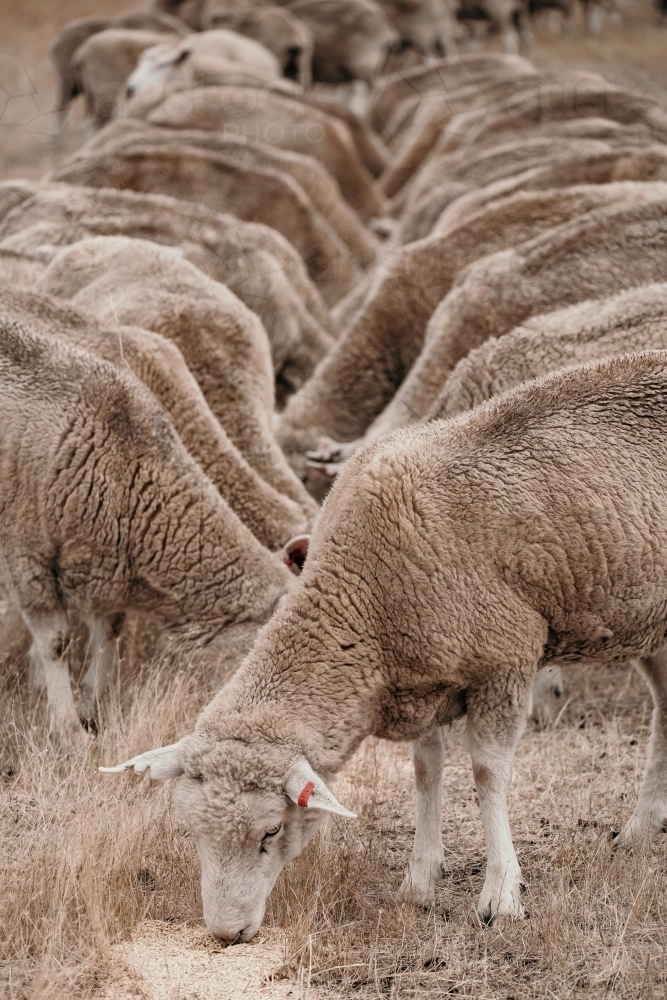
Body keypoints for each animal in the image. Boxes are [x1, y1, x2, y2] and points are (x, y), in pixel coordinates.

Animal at [0, 314, 295, 747]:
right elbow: (56, 643)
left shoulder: (110, 565)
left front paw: (91, 705)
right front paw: (70, 732)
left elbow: (111, 629)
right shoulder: (27, 555)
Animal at [103, 351, 667, 935]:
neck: (364, 594)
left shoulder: (505, 658)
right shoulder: (423, 679)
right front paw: (419, 880)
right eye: (191, 832)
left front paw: (501, 893)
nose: (225, 933)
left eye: (271, 831)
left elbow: (488, 773)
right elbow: (425, 770)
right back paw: (640, 829)